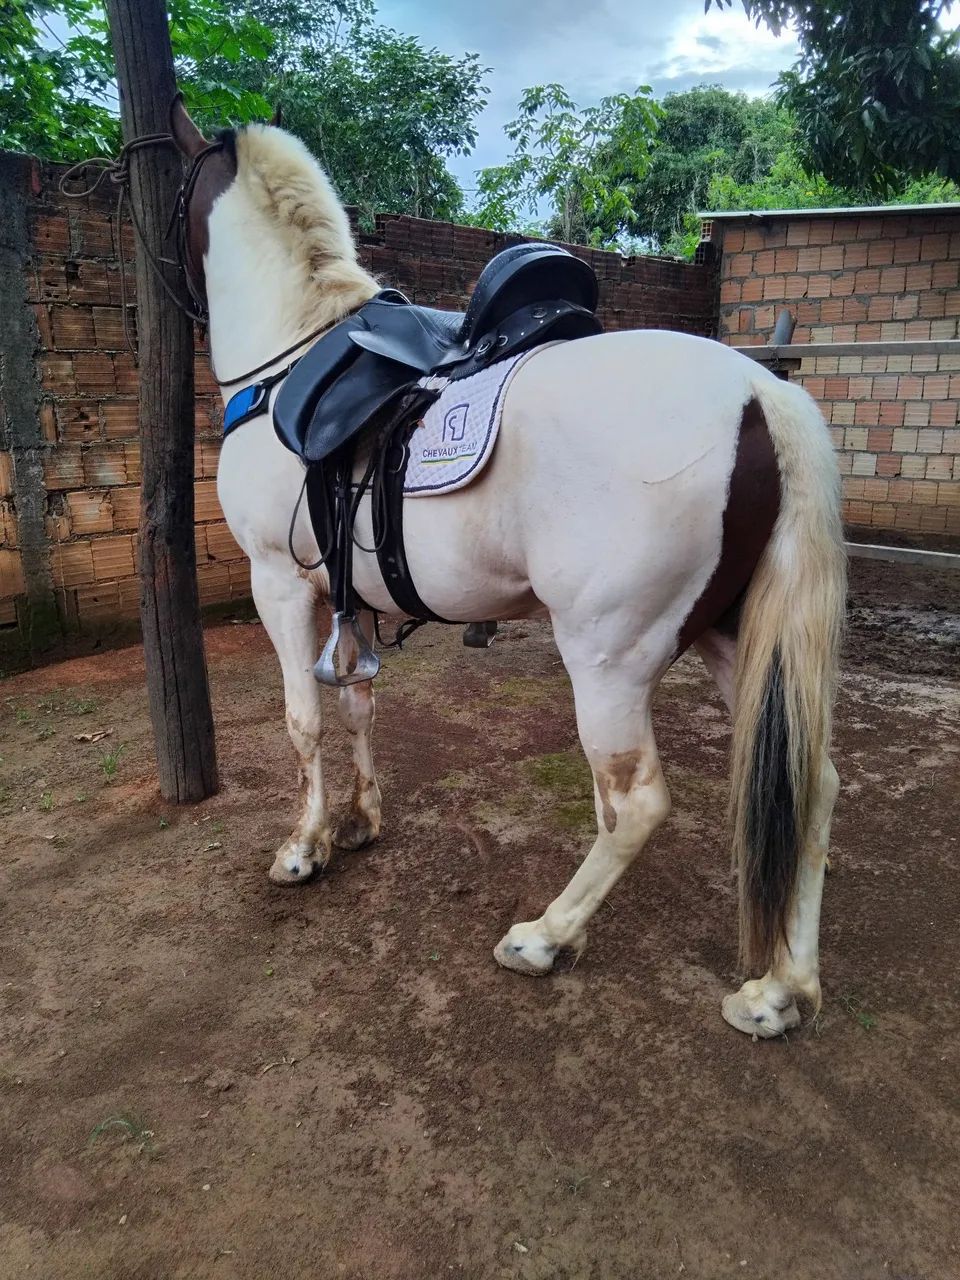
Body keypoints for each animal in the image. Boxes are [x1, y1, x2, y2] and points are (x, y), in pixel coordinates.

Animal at [168, 99, 846, 1038]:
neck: (289, 361)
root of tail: (765, 395)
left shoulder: (281, 584)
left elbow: (303, 722)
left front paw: (304, 849)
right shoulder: (349, 597)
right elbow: (358, 706)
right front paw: (361, 822)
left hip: (607, 658)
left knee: (637, 804)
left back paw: (546, 936)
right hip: (731, 636)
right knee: (810, 785)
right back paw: (781, 991)